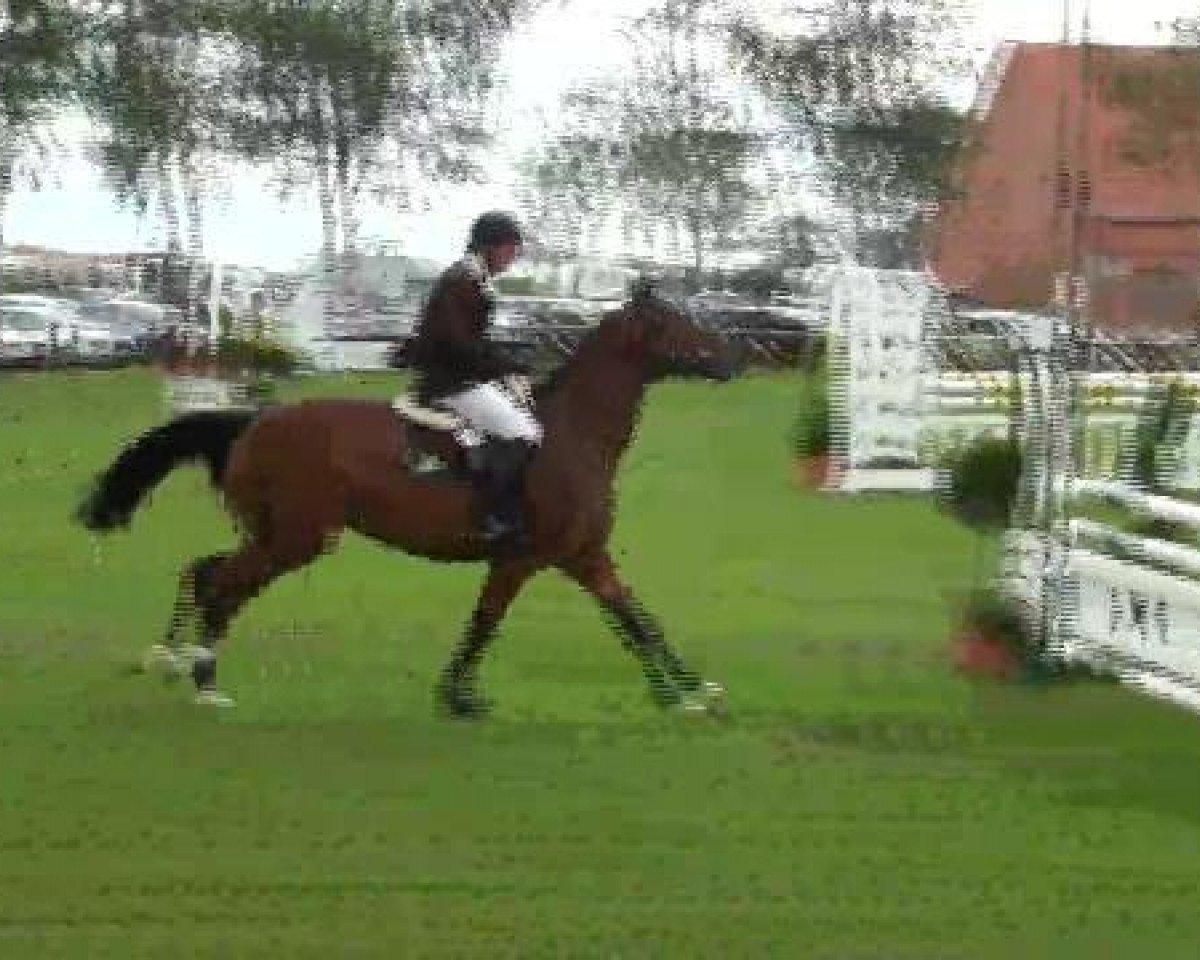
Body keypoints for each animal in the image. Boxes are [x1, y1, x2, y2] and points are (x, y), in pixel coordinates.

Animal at [75, 281, 737, 719]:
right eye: (676, 323)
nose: (733, 358)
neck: (572, 435)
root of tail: (255, 422)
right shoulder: (521, 558)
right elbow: (486, 622)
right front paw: (457, 696)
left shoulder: (583, 556)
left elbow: (635, 617)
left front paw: (685, 691)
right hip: (298, 539)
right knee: (224, 587)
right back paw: (204, 681)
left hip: (272, 534)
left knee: (204, 571)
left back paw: (172, 659)